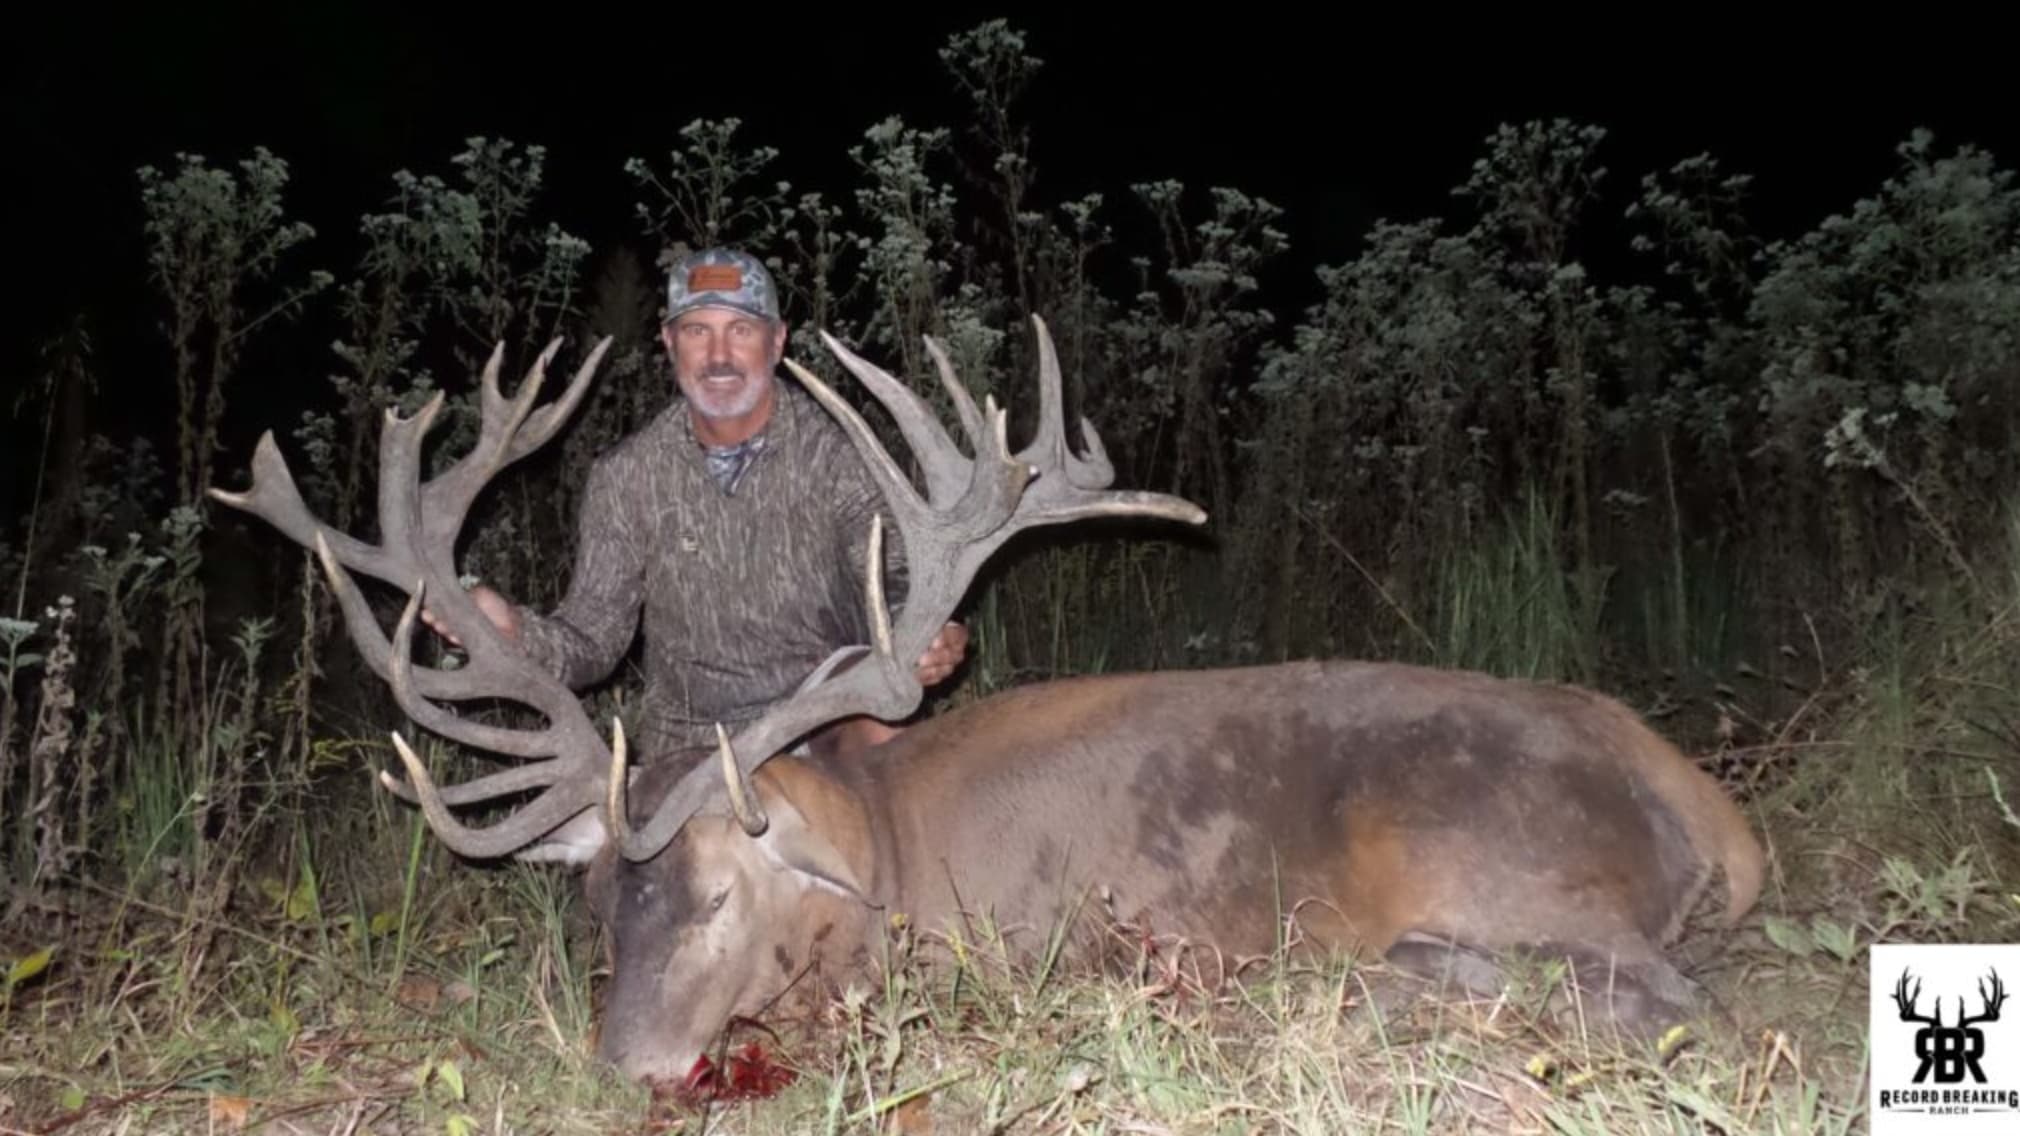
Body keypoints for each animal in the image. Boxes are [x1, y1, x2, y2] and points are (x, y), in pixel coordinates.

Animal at [209, 316, 1766, 1086]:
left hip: (1503, 851)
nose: (624, 1069)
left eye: (712, 898)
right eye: (598, 911)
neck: (880, 852)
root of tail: (1710, 810)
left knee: (1664, 992)